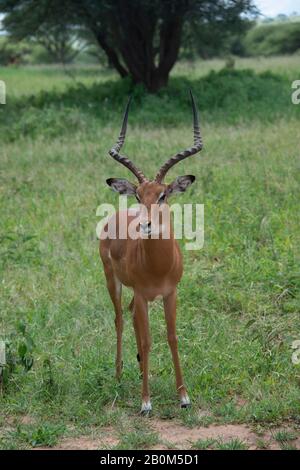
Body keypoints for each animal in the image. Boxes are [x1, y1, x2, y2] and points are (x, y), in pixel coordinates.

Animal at [99, 90, 203, 414]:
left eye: (163, 194)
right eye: (137, 194)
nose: (145, 224)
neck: (158, 266)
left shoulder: (170, 293)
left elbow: (172, 337)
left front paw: (184, 397)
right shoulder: (145, 295)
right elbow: (147, 340)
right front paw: (145, 402)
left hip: (135, 295)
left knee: (131, 318)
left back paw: (139, 368)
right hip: (114, 282)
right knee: (120, 319)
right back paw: (119, 374)